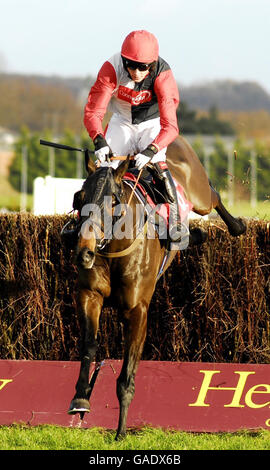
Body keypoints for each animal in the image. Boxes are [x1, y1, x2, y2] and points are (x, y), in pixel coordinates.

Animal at [66, 134, 246, 438]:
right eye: (79, 198)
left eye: (113, 201)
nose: (85, 253)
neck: (115, 248)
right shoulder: (89, 295)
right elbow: (89, 344)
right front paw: (80, 398)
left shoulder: (137, 310)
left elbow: (127, 372)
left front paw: (121, 432)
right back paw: (197, 234)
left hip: (199, 195)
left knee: (214, 196)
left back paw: (237, 225)